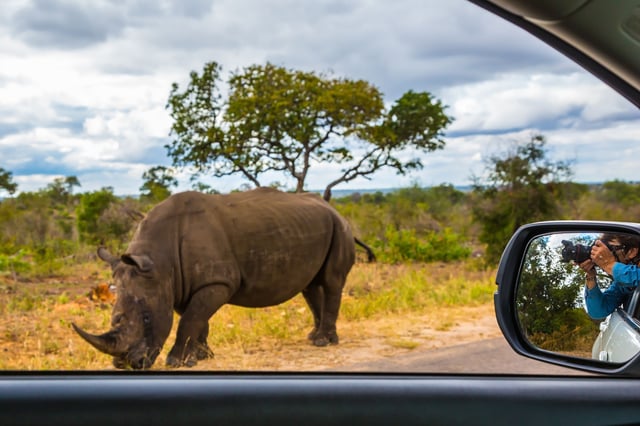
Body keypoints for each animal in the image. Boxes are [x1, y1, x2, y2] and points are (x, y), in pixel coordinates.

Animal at [72, 188, 359, 369]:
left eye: (145, 319)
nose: (127, 365)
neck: (159, 262)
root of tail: (333, 208)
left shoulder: (217, 282)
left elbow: (190, 319)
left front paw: (176, 362)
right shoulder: (181, 285)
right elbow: (197, 319)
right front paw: (201, 357)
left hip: (340, 227)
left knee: (332, 281)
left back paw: (323, 342)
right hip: (317, 227)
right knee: (310, 286)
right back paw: (313, 337)